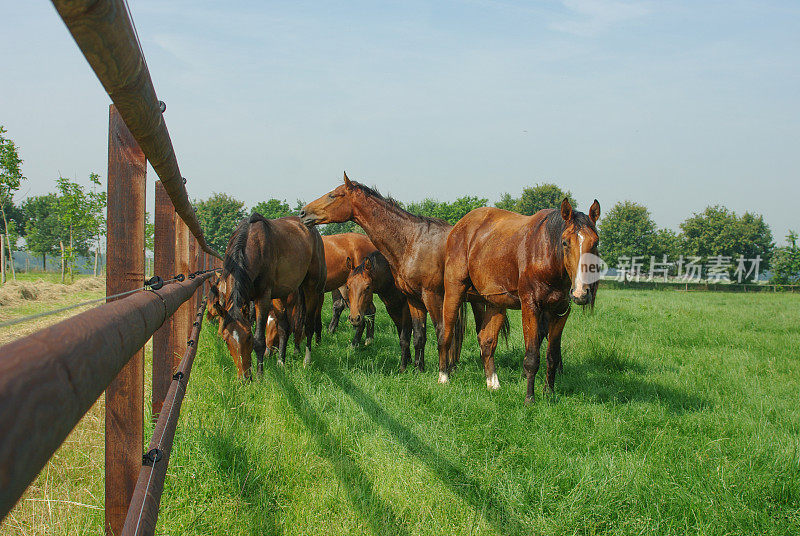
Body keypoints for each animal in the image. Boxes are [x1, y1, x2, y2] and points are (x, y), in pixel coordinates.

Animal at [216, 211, 324, 378]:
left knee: (309, 325)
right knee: (284, 327)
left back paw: (307, 360)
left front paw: (259, 375)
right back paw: (281, 361)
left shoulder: (263, 298)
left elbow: (259, 339)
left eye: (248, 337)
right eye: (225, 339)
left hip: (311, 288)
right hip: (282, 295)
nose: (244, 378)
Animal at [302, 173, 484, 382]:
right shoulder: (414, 299)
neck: (412, 241)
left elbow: (441, 332)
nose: (303, 213)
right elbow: (418, 336)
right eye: (348, 286)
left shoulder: (432, 297)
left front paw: (442, 373)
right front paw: (417, 370)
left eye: (333, 195)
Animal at [438, 197, 600, 402]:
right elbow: (531, 357)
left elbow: (553, 355)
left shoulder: (560, 311)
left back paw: (493, 383)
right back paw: (443, 377)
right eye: (565, 242)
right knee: (446, 333)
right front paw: (529, 398)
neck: (546, 254)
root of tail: (459, 227)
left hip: (495, 302)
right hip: (454, 290)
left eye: (595, 243)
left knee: (487, 340)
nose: (580, 292)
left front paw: (549, 393)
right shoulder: (530, 306)